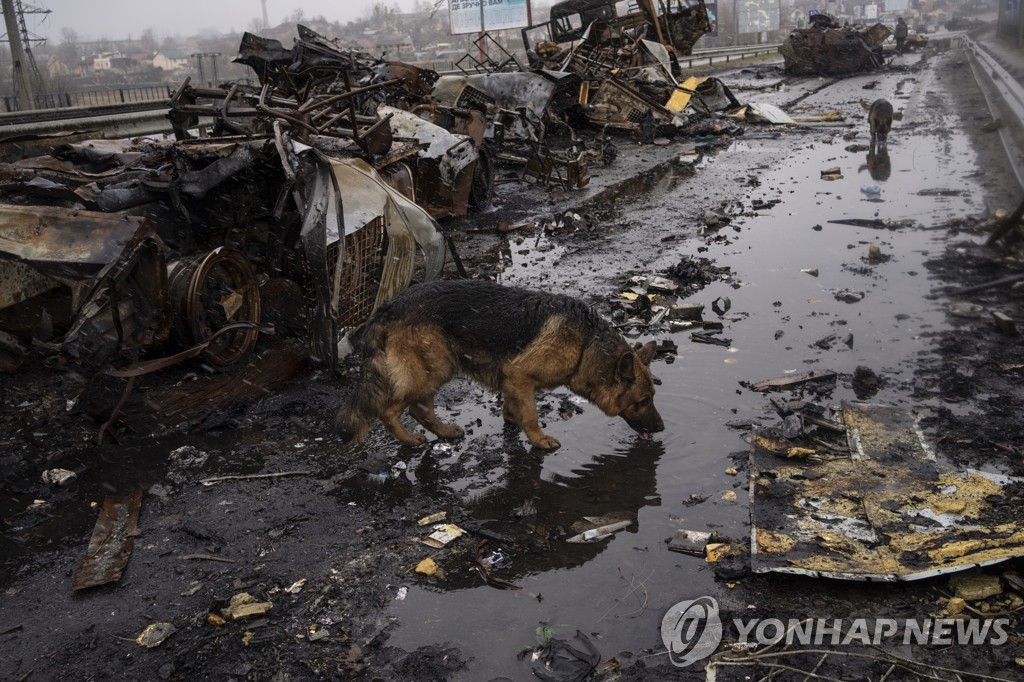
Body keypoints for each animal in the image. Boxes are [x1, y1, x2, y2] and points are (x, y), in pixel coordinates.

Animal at [335, 278, 663, 448]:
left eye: (652, 397)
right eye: (643, 400)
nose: (661, 428)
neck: (587, 343)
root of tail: (386, 307)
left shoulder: (512, 379)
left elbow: (513, 405)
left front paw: (511, 418)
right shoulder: (519, 374)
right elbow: (531, 414)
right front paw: (539, 439)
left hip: (437, 368)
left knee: (418, 408)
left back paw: (444, 433)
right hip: (435, 369)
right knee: (391, 409)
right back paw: (408, 439)